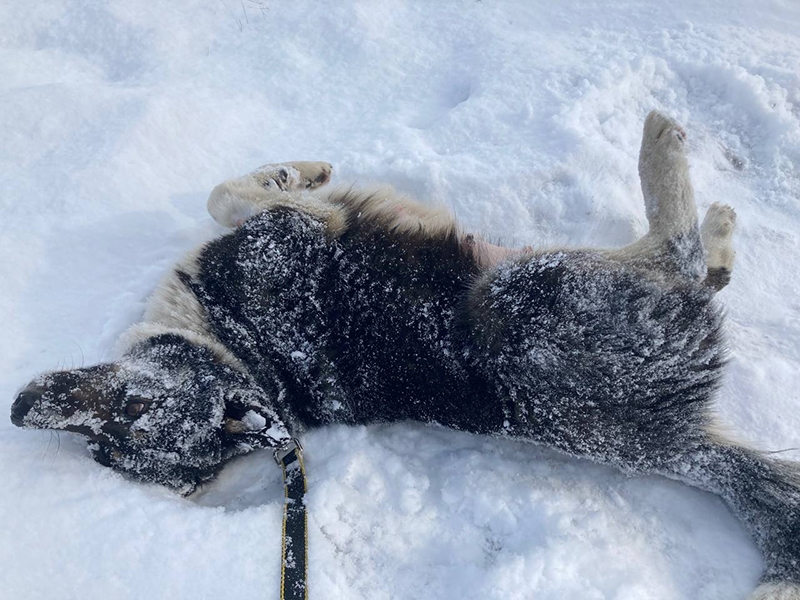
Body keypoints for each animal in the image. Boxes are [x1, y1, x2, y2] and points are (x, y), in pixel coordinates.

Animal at [9, 111, 796, 596]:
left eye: (222, 416)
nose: (267, 426)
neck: (233, 343)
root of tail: (666, 440)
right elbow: (228, 196)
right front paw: (292, 176)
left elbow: (223, 195)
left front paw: (298, 169)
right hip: (519, 293)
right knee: (676, 254)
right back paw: (675, 165)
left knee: (686, 264)